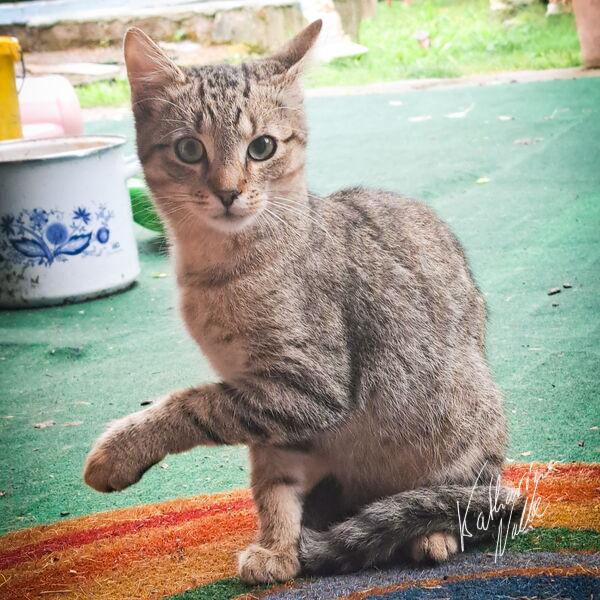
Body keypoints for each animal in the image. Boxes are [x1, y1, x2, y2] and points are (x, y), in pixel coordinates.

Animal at [84, 20, 522, 584]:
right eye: (189, 150)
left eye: (262, 147)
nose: (228, 192)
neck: (222, 267)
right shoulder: (274, 415)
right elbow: (272, 486)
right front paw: (278, 545)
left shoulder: (308, 386)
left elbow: (192, 403)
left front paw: (118, 451)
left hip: (460, 426)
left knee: (457, 502)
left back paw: (430, 532)